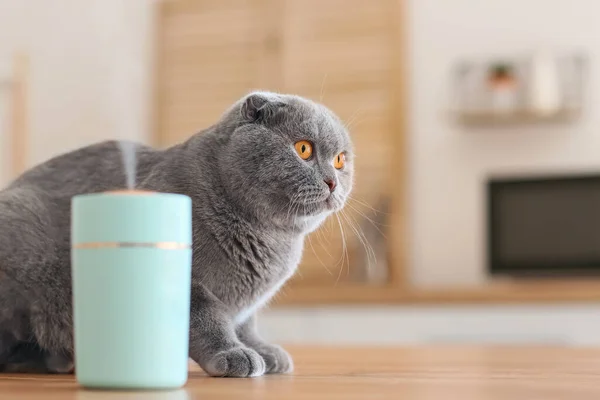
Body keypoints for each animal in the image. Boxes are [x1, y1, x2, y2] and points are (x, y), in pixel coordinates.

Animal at [0, 92, 352, 376]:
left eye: (340, 160)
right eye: (303, 149)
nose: (333, 181)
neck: (269, 236)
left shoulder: (246, 306)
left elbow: (246, 324)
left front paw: (264, 351)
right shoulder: (190, 284)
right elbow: (207, 320)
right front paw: (234, 354)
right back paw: (55, 360)